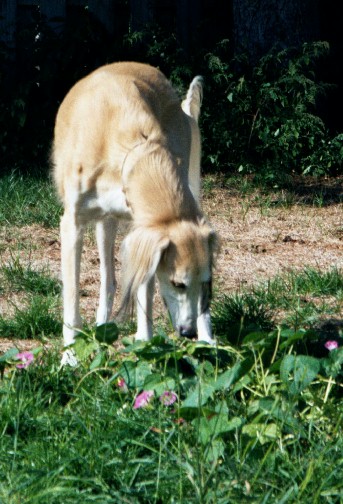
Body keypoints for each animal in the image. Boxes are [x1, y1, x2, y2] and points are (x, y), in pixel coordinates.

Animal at [52, 63, 218, 364]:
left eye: (205, 283)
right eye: (178, 284)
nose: (187, 333)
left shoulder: (145, 232)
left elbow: (145, 292)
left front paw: (146, 343)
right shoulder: (71, 224)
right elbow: (71, 301)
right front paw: (69, 358)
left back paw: (206, 338)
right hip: (104, 223)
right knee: (108, 280)